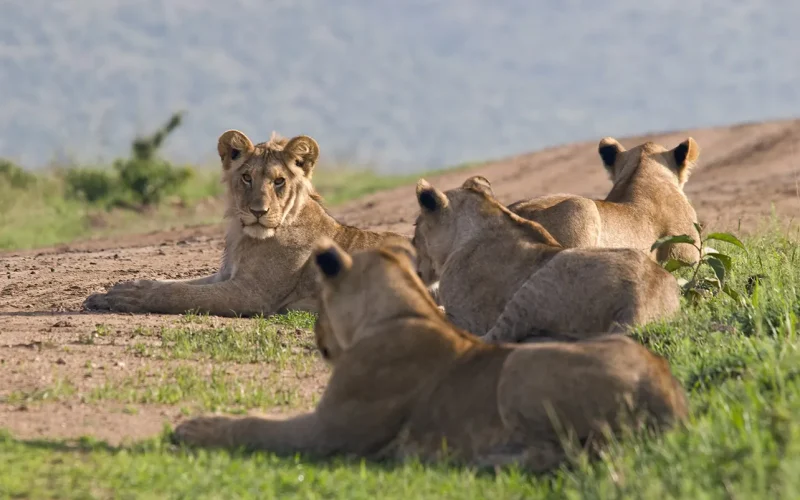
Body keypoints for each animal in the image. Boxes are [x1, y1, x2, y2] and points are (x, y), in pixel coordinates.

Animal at [82, 130, 408, 316]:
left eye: (279, 181)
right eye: (247, 177)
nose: (258, 211)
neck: (244, 238)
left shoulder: (252, 295)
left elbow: (180, 294)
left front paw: (131, 297)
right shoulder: (225, 275)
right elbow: (175, 283)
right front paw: (116, 291)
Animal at [172, 238, 689, 472]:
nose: (318, 336)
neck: (402, 310)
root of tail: (668, 393)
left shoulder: (329, 434)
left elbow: (256, 426)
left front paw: (193, 427)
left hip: (520, 366)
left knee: (570, 454)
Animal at [412, 176, 681, 343]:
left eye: (415, 226)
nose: (415, 267)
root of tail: (641, 303)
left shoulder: (466, 317)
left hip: (539, 280)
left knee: (496, 339)